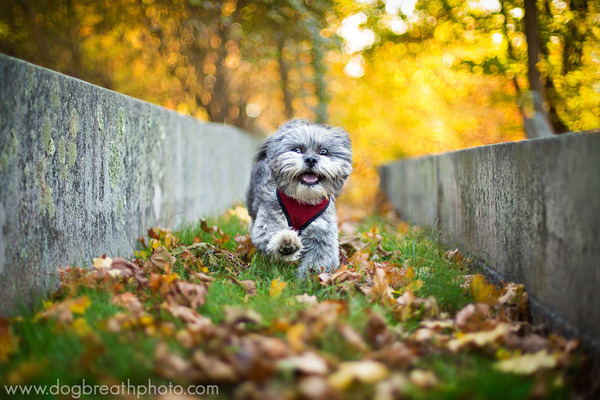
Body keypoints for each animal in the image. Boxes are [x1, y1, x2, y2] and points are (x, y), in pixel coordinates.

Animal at [246, 117, 354, 276]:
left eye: (324, 151)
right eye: (296, 150)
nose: (310, 159)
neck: (303, 200)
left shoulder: (322, 233)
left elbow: (318, 260)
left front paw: (309, 278)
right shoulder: (269, 217)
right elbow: (271, 232)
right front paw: (286, 243)